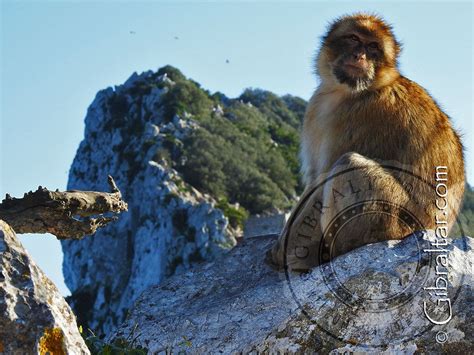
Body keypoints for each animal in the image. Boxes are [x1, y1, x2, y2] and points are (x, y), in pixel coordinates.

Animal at [268, 12, 464, 272]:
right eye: (353, 38)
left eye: (373, 47)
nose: (359, 56)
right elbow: (314, 178)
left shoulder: (361, 116)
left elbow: (322, 179)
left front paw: (286, 251)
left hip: (393, 222)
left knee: (348, 164)